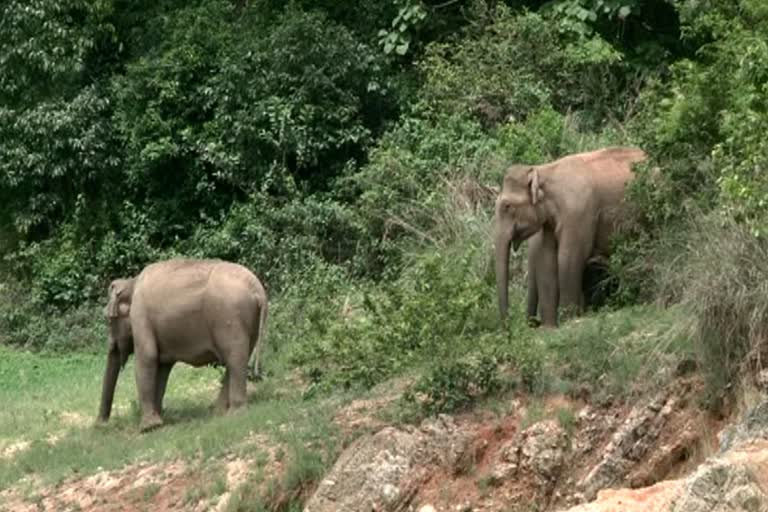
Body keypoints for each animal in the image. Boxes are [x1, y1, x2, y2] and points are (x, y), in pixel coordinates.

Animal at [97, 258, 268, 430]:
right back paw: (217, 412)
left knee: (234, 359)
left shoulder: (140, 315)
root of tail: (258, 289)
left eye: (108, 319)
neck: (131, 282)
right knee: (239, 358)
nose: (100, 423)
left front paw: (148, 427)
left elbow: (147, 357)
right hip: (249, 322)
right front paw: (159, 420)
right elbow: (162, 367)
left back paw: (234, 414)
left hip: (230, 317)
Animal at [492, 146, 648, 326]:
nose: (508, 326)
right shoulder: (550, 222)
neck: (544, 170)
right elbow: (547, 260)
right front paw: (549, 327)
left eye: (507, 206)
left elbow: (569, 258)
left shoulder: (578, 213)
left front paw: (569, 320)